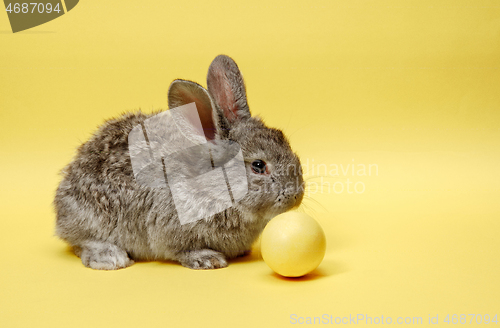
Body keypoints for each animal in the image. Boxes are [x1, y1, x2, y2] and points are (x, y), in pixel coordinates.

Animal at [54, 55, 304, 270]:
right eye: (258, 166)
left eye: (282, 138)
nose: (296, 195)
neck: (215, 187)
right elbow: (181, 249)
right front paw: (207, 259)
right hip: (93, 217)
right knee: (81, 241)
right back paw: (109, 257)